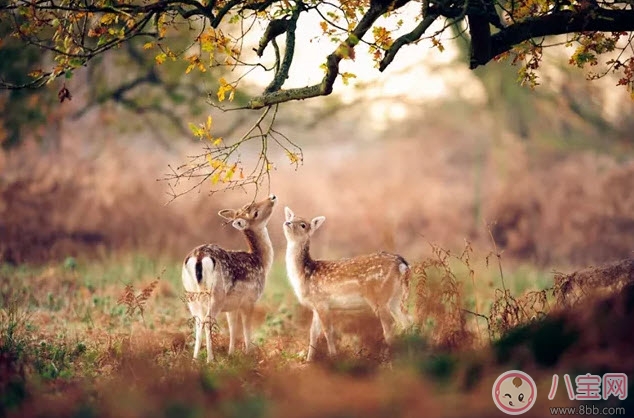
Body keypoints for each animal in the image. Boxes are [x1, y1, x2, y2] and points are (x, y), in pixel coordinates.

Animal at [179, 194, 276, 360]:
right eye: (255, 212)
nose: (272, 197)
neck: (260, 261)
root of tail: (198, 257)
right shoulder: (249, 300)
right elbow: (246, 328)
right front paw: (248, 354)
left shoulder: (233, 306)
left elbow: (232, 327)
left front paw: (231, 354)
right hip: (216, 293)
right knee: (207, 320)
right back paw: (210, 359)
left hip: (191, 293)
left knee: (198, 321)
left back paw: (195, 358)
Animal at [282, 207, 410, 360]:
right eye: (291, 217)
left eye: (303, 225)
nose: (287, 222)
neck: (305, 274)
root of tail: (402, 264)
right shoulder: (315, 305)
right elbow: (313, 333)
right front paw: (309, 360)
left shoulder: (321, 301)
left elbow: (328, 331)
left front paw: (333, 357)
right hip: (395, 297)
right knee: (407, 319)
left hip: (379, 296)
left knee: (390, 323)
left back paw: (388, 356)